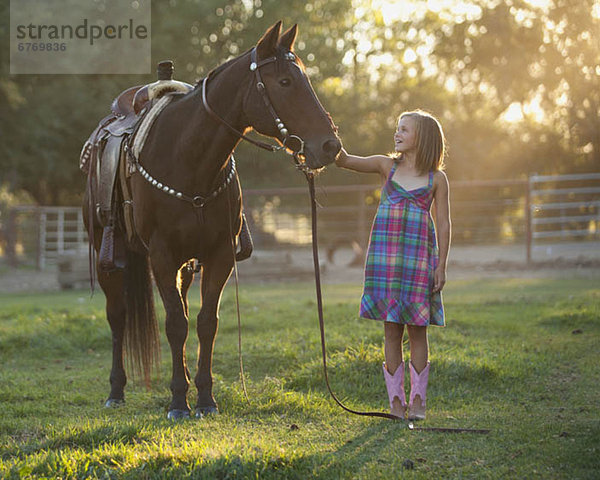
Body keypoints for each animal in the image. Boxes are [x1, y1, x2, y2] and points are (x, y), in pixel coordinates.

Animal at [84, 23, 340, 420]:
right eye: (284, 81)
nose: (330, 146)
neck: (188, 159)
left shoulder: (219, 256)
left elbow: (205, 322)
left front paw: (204, 397)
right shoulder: (161, 256)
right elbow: (175, 325)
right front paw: (178, 401)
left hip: (185, 266)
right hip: (108, 254)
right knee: (118, 315)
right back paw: (116, 390)